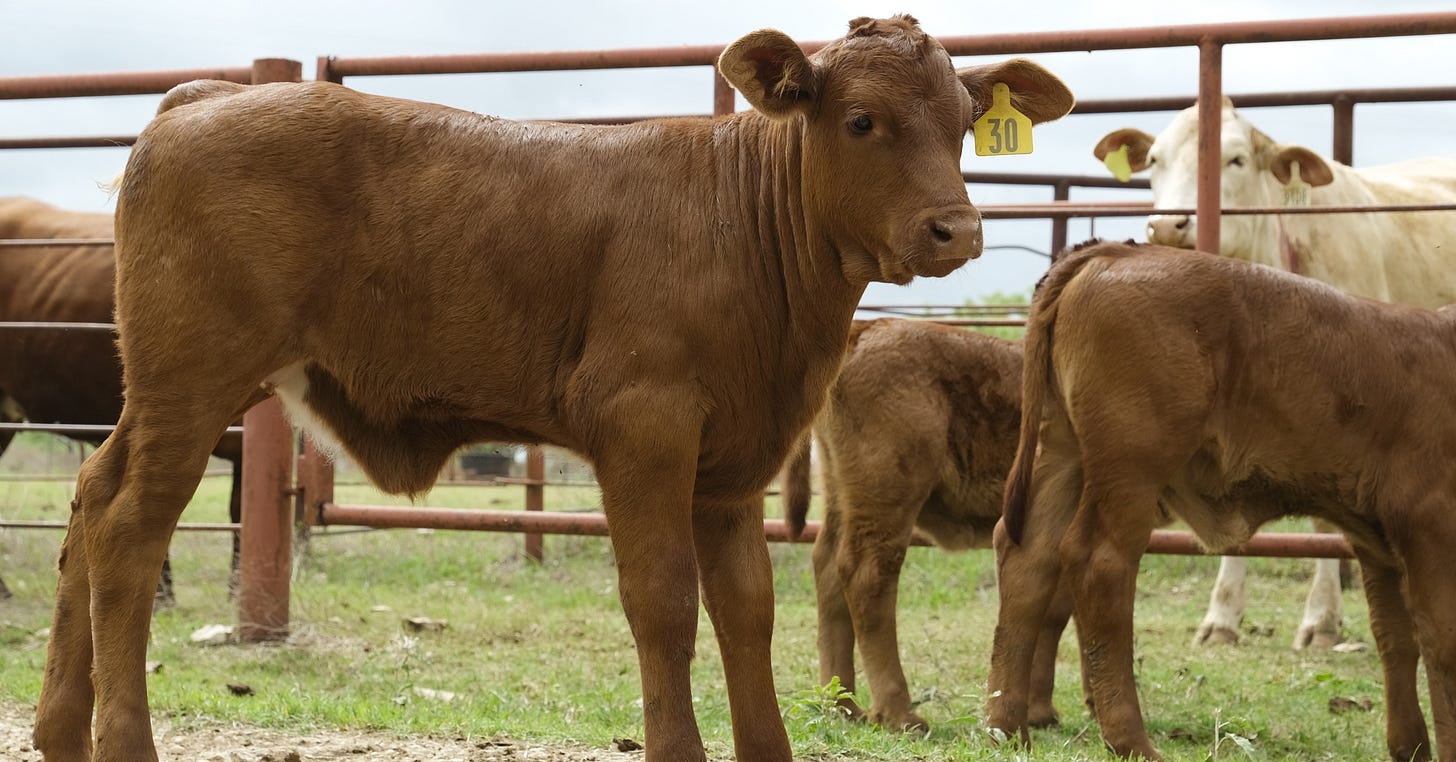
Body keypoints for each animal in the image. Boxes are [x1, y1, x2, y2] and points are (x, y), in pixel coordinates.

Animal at [781, 318, 1081, 732]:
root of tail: (868, 327)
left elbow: (1053, 610)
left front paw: (1040, 711)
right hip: (888, 496)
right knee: (867, 576)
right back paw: (898, 713)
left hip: (842, 494)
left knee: (827, 569)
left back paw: (844, 707)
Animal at [986, 239, 1454, 762]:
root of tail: (1115, 253)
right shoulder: (1431, 525)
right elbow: (1442, 641)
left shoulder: (1378, 542)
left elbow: (1397, 637)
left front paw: (1411, 747)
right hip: (1132, 464)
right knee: (1099, 563)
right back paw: (1131, 741)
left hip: (1064, 452)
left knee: (1028, 558)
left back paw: (1006, 728)